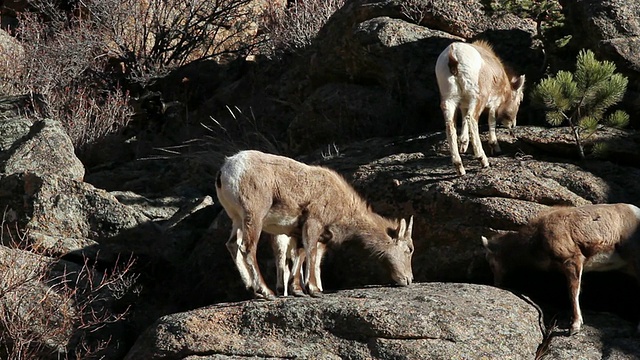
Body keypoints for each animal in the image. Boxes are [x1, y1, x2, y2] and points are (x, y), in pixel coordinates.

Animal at [215, 149, 416, 298]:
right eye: (409, 250)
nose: (408, 279)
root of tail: (225, 171)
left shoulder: (297, 231)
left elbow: (299, 255)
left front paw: (297, 290)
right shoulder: (313, 223)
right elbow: (310, 252)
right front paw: (313, 289)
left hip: (237, 219)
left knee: (232, 245)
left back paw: (253, 289)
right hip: (254, 216)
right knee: (248, 248)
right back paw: (266, 292)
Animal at [436, 40, 524, 176]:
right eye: (519, 102)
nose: (513, 124)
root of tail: (453, 53)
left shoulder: (463, 104)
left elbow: (463, 119)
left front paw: (463, 145)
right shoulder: (493, 104)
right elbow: (491, 121)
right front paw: (496, 147)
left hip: (449, 100)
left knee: (450, 125)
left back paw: (459, 167)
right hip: (477, 98)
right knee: (472, 119)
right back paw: (483, 160)